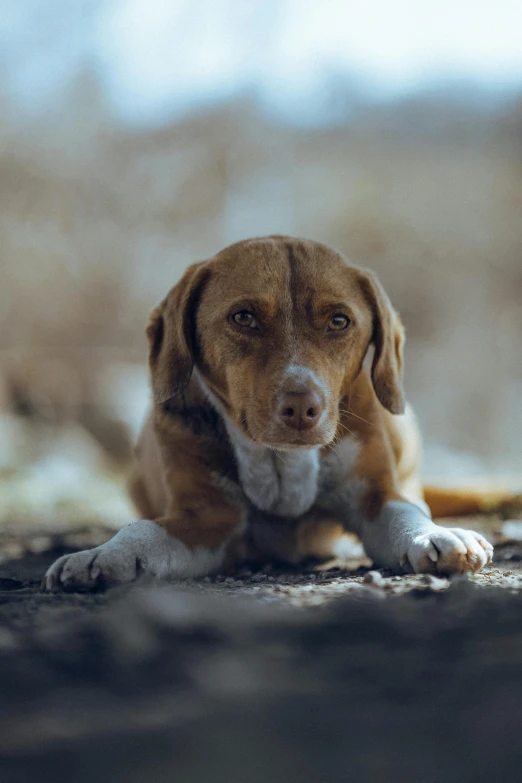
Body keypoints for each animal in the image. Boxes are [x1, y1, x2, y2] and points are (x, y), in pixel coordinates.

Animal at [43, 236, 492, 592]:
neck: (281, 463)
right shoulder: (204, 519)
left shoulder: (374, 496)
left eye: (339, 320)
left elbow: (404, 510)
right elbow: (145, 530)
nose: (302, 408)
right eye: (244, 317)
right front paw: (104, 555)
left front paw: (435, 535)